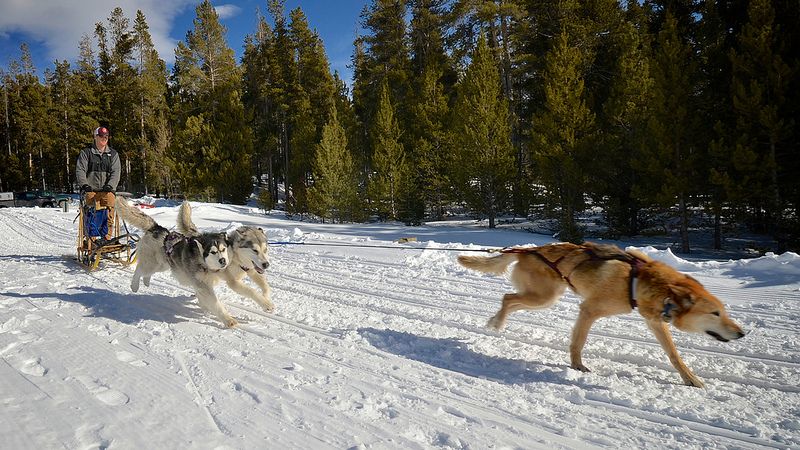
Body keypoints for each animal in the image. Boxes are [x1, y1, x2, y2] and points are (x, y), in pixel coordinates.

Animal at [460, 243, 748, 386]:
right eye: (715, 312)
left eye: (724, 311)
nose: (742, 333)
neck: (639, 280)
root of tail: (529, 249)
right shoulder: (588, 310)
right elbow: (578, 343)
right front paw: (577, 367)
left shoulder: (655, 322)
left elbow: (674, 355)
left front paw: (691, 379)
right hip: (543, 297)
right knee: (507, 298)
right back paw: (496, 322)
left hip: (543, 299)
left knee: (510, 300)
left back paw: (498, 321)